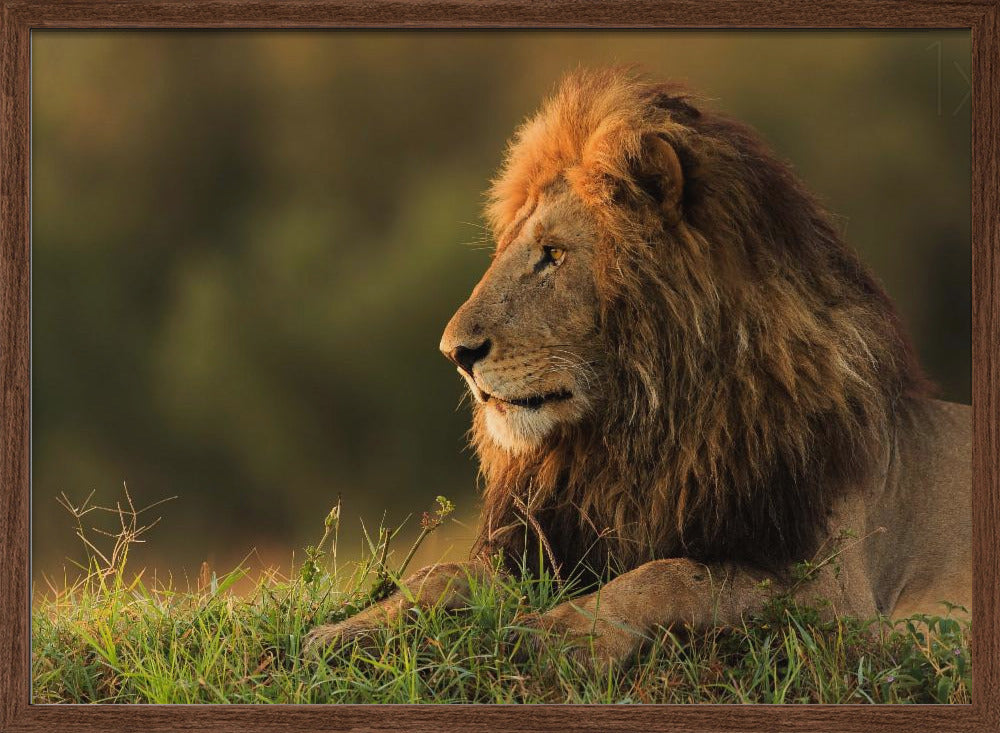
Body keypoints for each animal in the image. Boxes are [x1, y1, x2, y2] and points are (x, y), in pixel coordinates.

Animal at [306, 68, 971, 667]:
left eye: (554, 254)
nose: (455, 353)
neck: (639, 435)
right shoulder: (559, 546)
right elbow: (441, 574)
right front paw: (343, 633)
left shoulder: (838, 598)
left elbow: (674, 574)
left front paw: (560, 634)